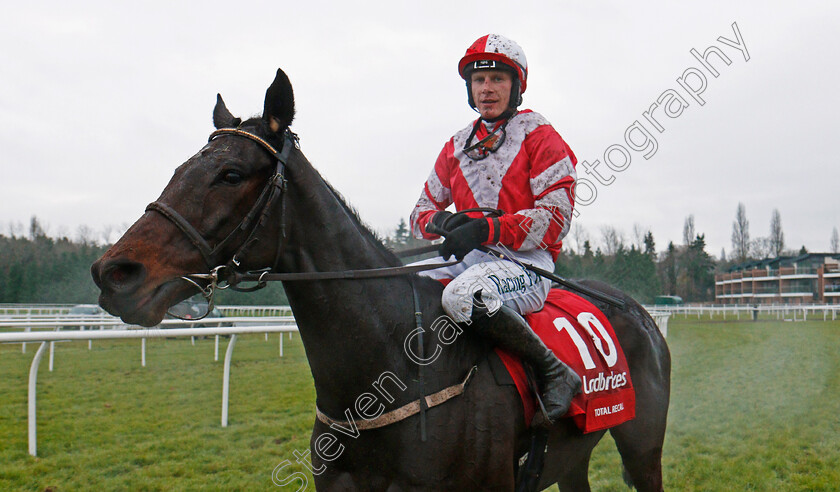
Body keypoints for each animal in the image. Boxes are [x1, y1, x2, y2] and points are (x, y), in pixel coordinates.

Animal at [90, 67, 668, 490]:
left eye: (230, 174)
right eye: (180, 168)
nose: (113, 273)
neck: (390, 366)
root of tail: (640, 311)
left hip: (643, 449)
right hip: (573, 459)